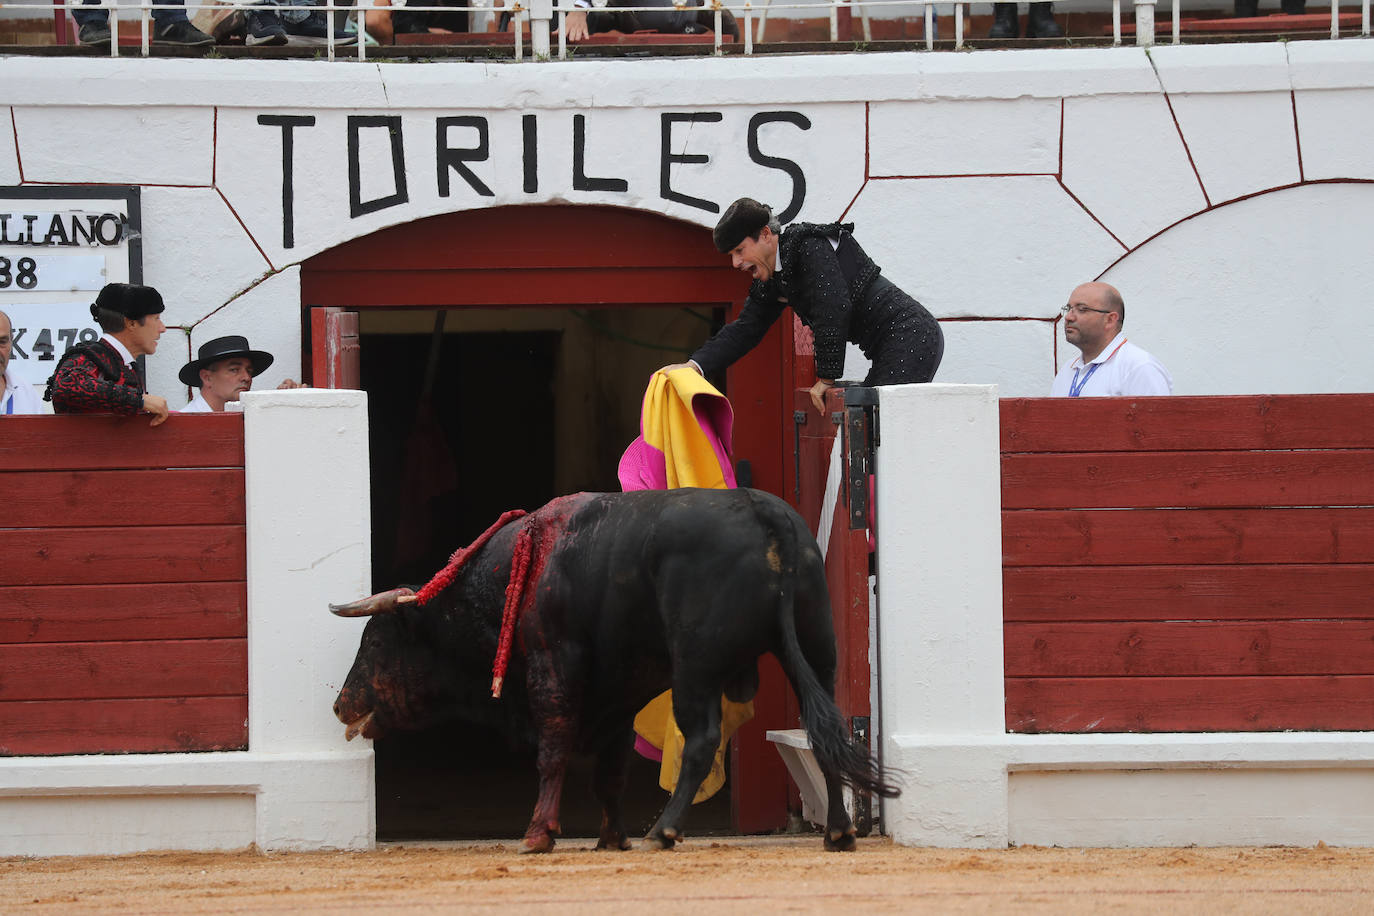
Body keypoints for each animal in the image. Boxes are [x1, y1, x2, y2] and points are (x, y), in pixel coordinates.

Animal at [327, 486, 895, 851]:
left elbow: (553, 750)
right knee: (826, 730)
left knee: (702, 740)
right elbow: (611, 771)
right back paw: (839, 831)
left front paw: (538, 833)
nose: (340, 705)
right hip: (818, 650)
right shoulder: (620, 690)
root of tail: (763, 512)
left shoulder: (554, 665)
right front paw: (610, 837)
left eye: (375, 638)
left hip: (694, 667)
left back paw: (664, 831)